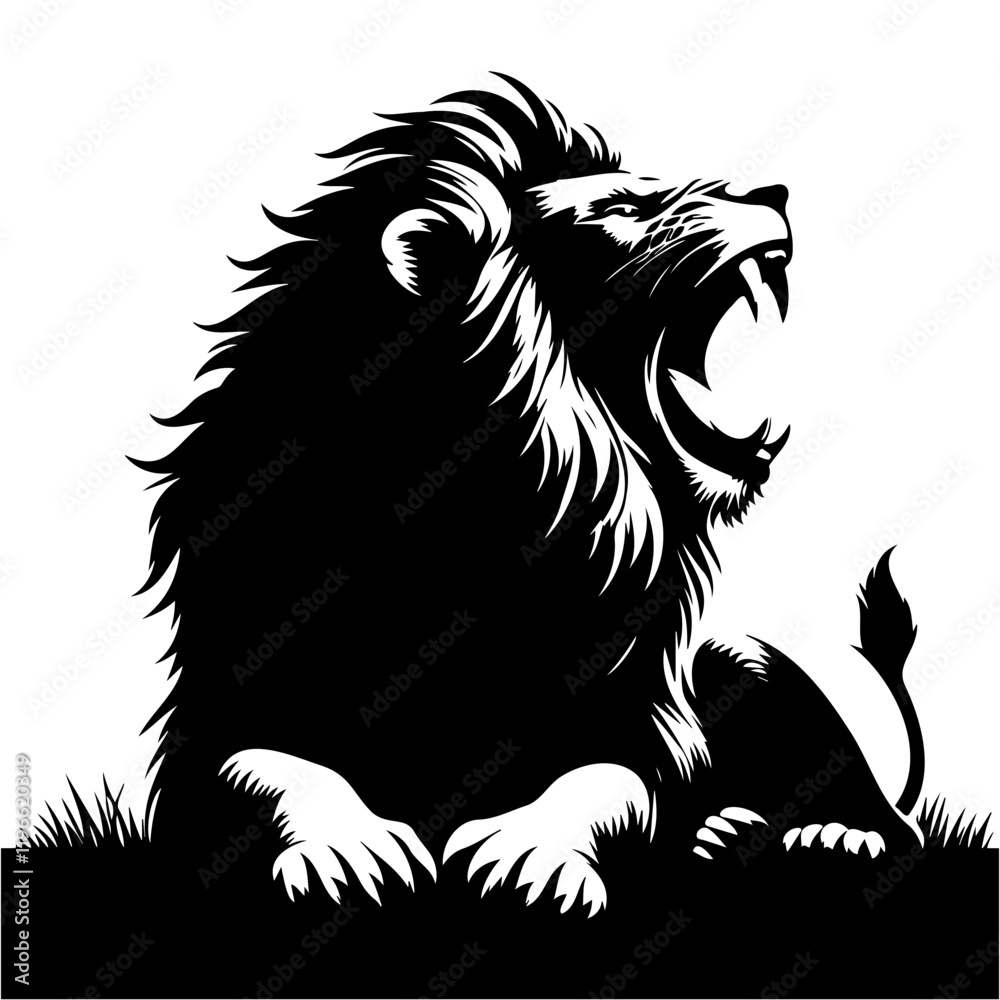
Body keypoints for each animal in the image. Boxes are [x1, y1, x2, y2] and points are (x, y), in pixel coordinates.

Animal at [136, 74, 923, 915]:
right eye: (620, 208)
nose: (772, 193)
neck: (480, 508)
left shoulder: (631, 712)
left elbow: (604, 782)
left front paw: (533, 858)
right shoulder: (220, 718)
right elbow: (269, 772)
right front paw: (348, 852)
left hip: (748, 668)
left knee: (893, 820)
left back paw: (810, 837)